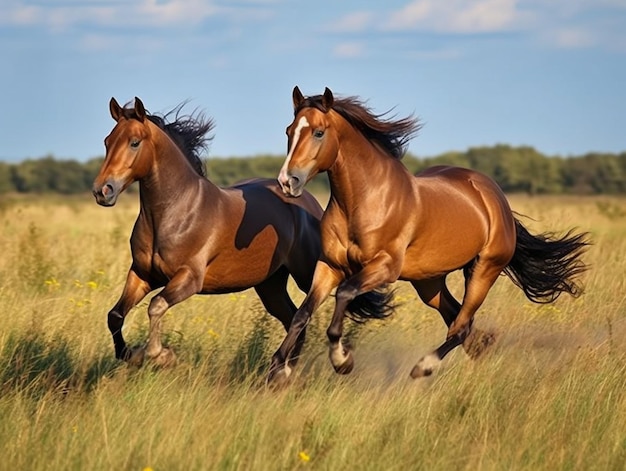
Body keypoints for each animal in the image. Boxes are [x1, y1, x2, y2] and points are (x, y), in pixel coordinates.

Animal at [91, 97, 322, 368]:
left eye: (134, 142)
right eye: (107, 141)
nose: (102, 191)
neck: (177, 212)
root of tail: (308, 202)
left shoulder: (189, 278)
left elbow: (156, 306)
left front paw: (160, 355)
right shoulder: (142, 275)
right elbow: (115, 315)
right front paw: (129, 354)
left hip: (307, 275)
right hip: (270, 285)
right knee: (294, 320)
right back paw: (284, 371)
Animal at [266, 86, 584, 386]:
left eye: (319, 132)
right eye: (289, 131)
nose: (287, 181)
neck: (363, 200)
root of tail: (494, 196)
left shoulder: (384, 267)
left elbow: (344, 294)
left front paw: (342, 360)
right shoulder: (329, 266)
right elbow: (301, 314)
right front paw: (279, 370)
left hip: (484, 269)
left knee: (460, 325)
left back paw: (424, 366)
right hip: (428, 283)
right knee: (457, 318)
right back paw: (481, 348)